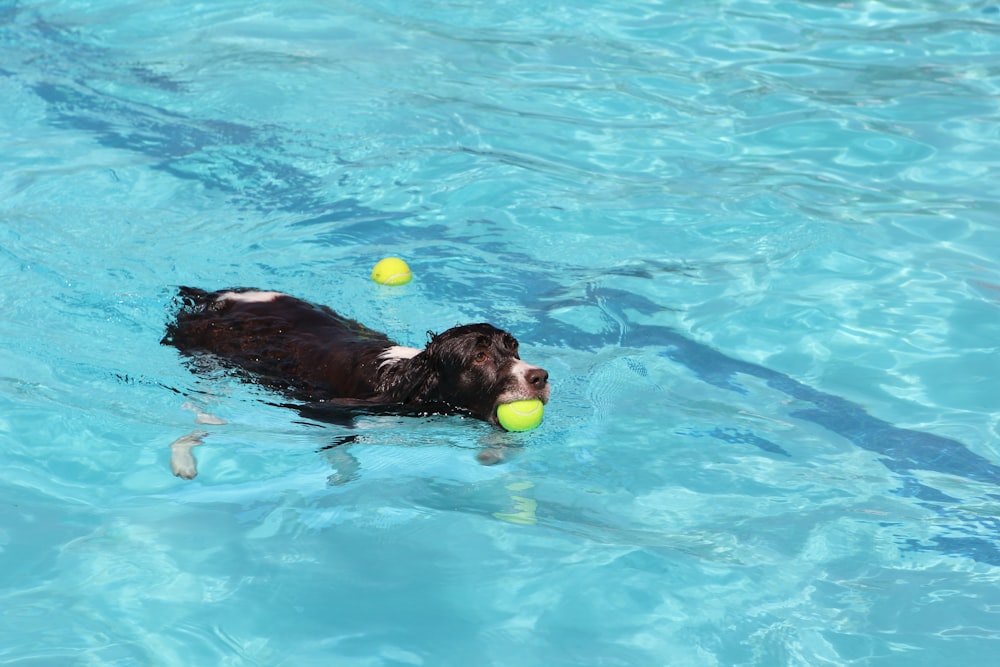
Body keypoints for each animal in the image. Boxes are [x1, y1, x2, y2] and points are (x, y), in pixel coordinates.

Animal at [164, 288, 556, 474]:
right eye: (479, 357)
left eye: (514, 348)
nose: (540, 377)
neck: (404, 378)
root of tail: (216, 297)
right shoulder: (326, 408)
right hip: (203, 358)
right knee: (198, 410)